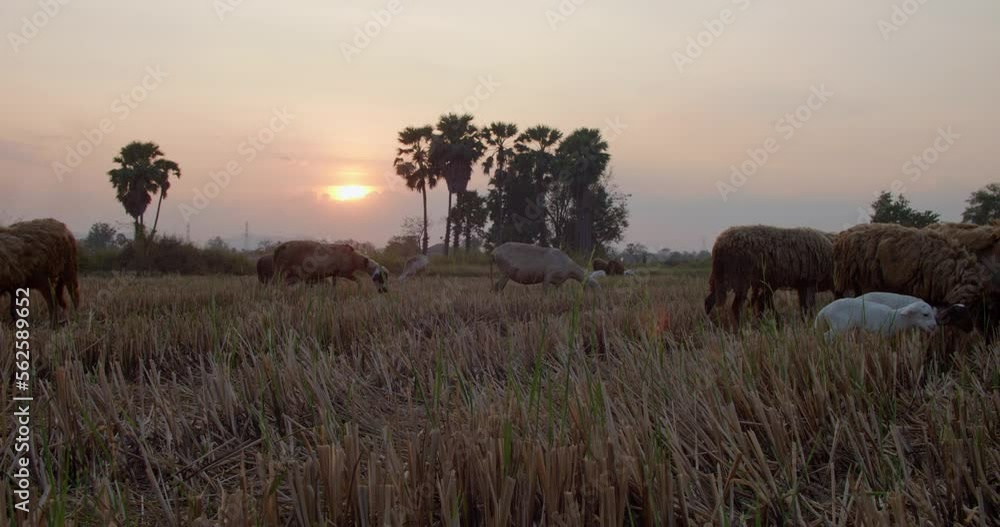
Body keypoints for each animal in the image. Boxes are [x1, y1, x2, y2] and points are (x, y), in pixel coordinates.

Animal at [703, 225, 834, 322]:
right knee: (736, 307)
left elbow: (804, 308)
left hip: (722, 279)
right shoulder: (810, 282)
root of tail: (718, 244)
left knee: (709, 301)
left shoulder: (802, 285)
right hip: (738, 279)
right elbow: (810, 307)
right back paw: (740, 330)